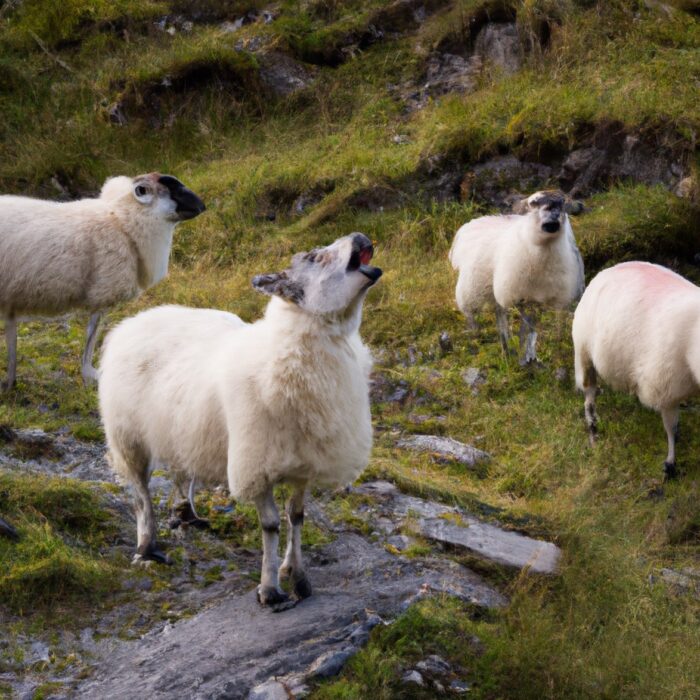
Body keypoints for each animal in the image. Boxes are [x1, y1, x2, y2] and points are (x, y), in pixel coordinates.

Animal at [0, 173, 205, 390]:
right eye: (169, 189)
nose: (201, 206)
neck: (122, 222)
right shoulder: (103, 292)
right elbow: (92, 333)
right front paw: (90, 375)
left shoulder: (10, 300)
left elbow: (12, 336)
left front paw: (10, 381)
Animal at [98, 232, 382, 610]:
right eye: (313, 257)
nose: (359, 236)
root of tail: (135, 320)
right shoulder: (256, 464)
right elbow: (272, 525)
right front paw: (270, 588)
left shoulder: (306, 461)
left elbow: (297, 516)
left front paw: (297, 575)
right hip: (127, 436)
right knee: (141, 494)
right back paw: (147, 546)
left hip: (178, 428)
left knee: (179, 470)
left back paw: (185, 514)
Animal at [449, 190, 584, 364]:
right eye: (533, 202)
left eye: (562, 203)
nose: (554, 218)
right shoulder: (518, 296)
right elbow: (527, 323)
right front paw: (526, 354)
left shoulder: (553, 298)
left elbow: (547, 325)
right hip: (472, 289)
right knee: (471, 313)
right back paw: (479, 338)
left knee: (500, 315)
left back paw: (506, 349)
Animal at [573, 261, 700, 480]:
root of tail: (606, 272)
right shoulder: (664, 388)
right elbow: (671, 428)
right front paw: (670, 464)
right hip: (584, 353)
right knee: (589, 395)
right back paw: (593, 426)